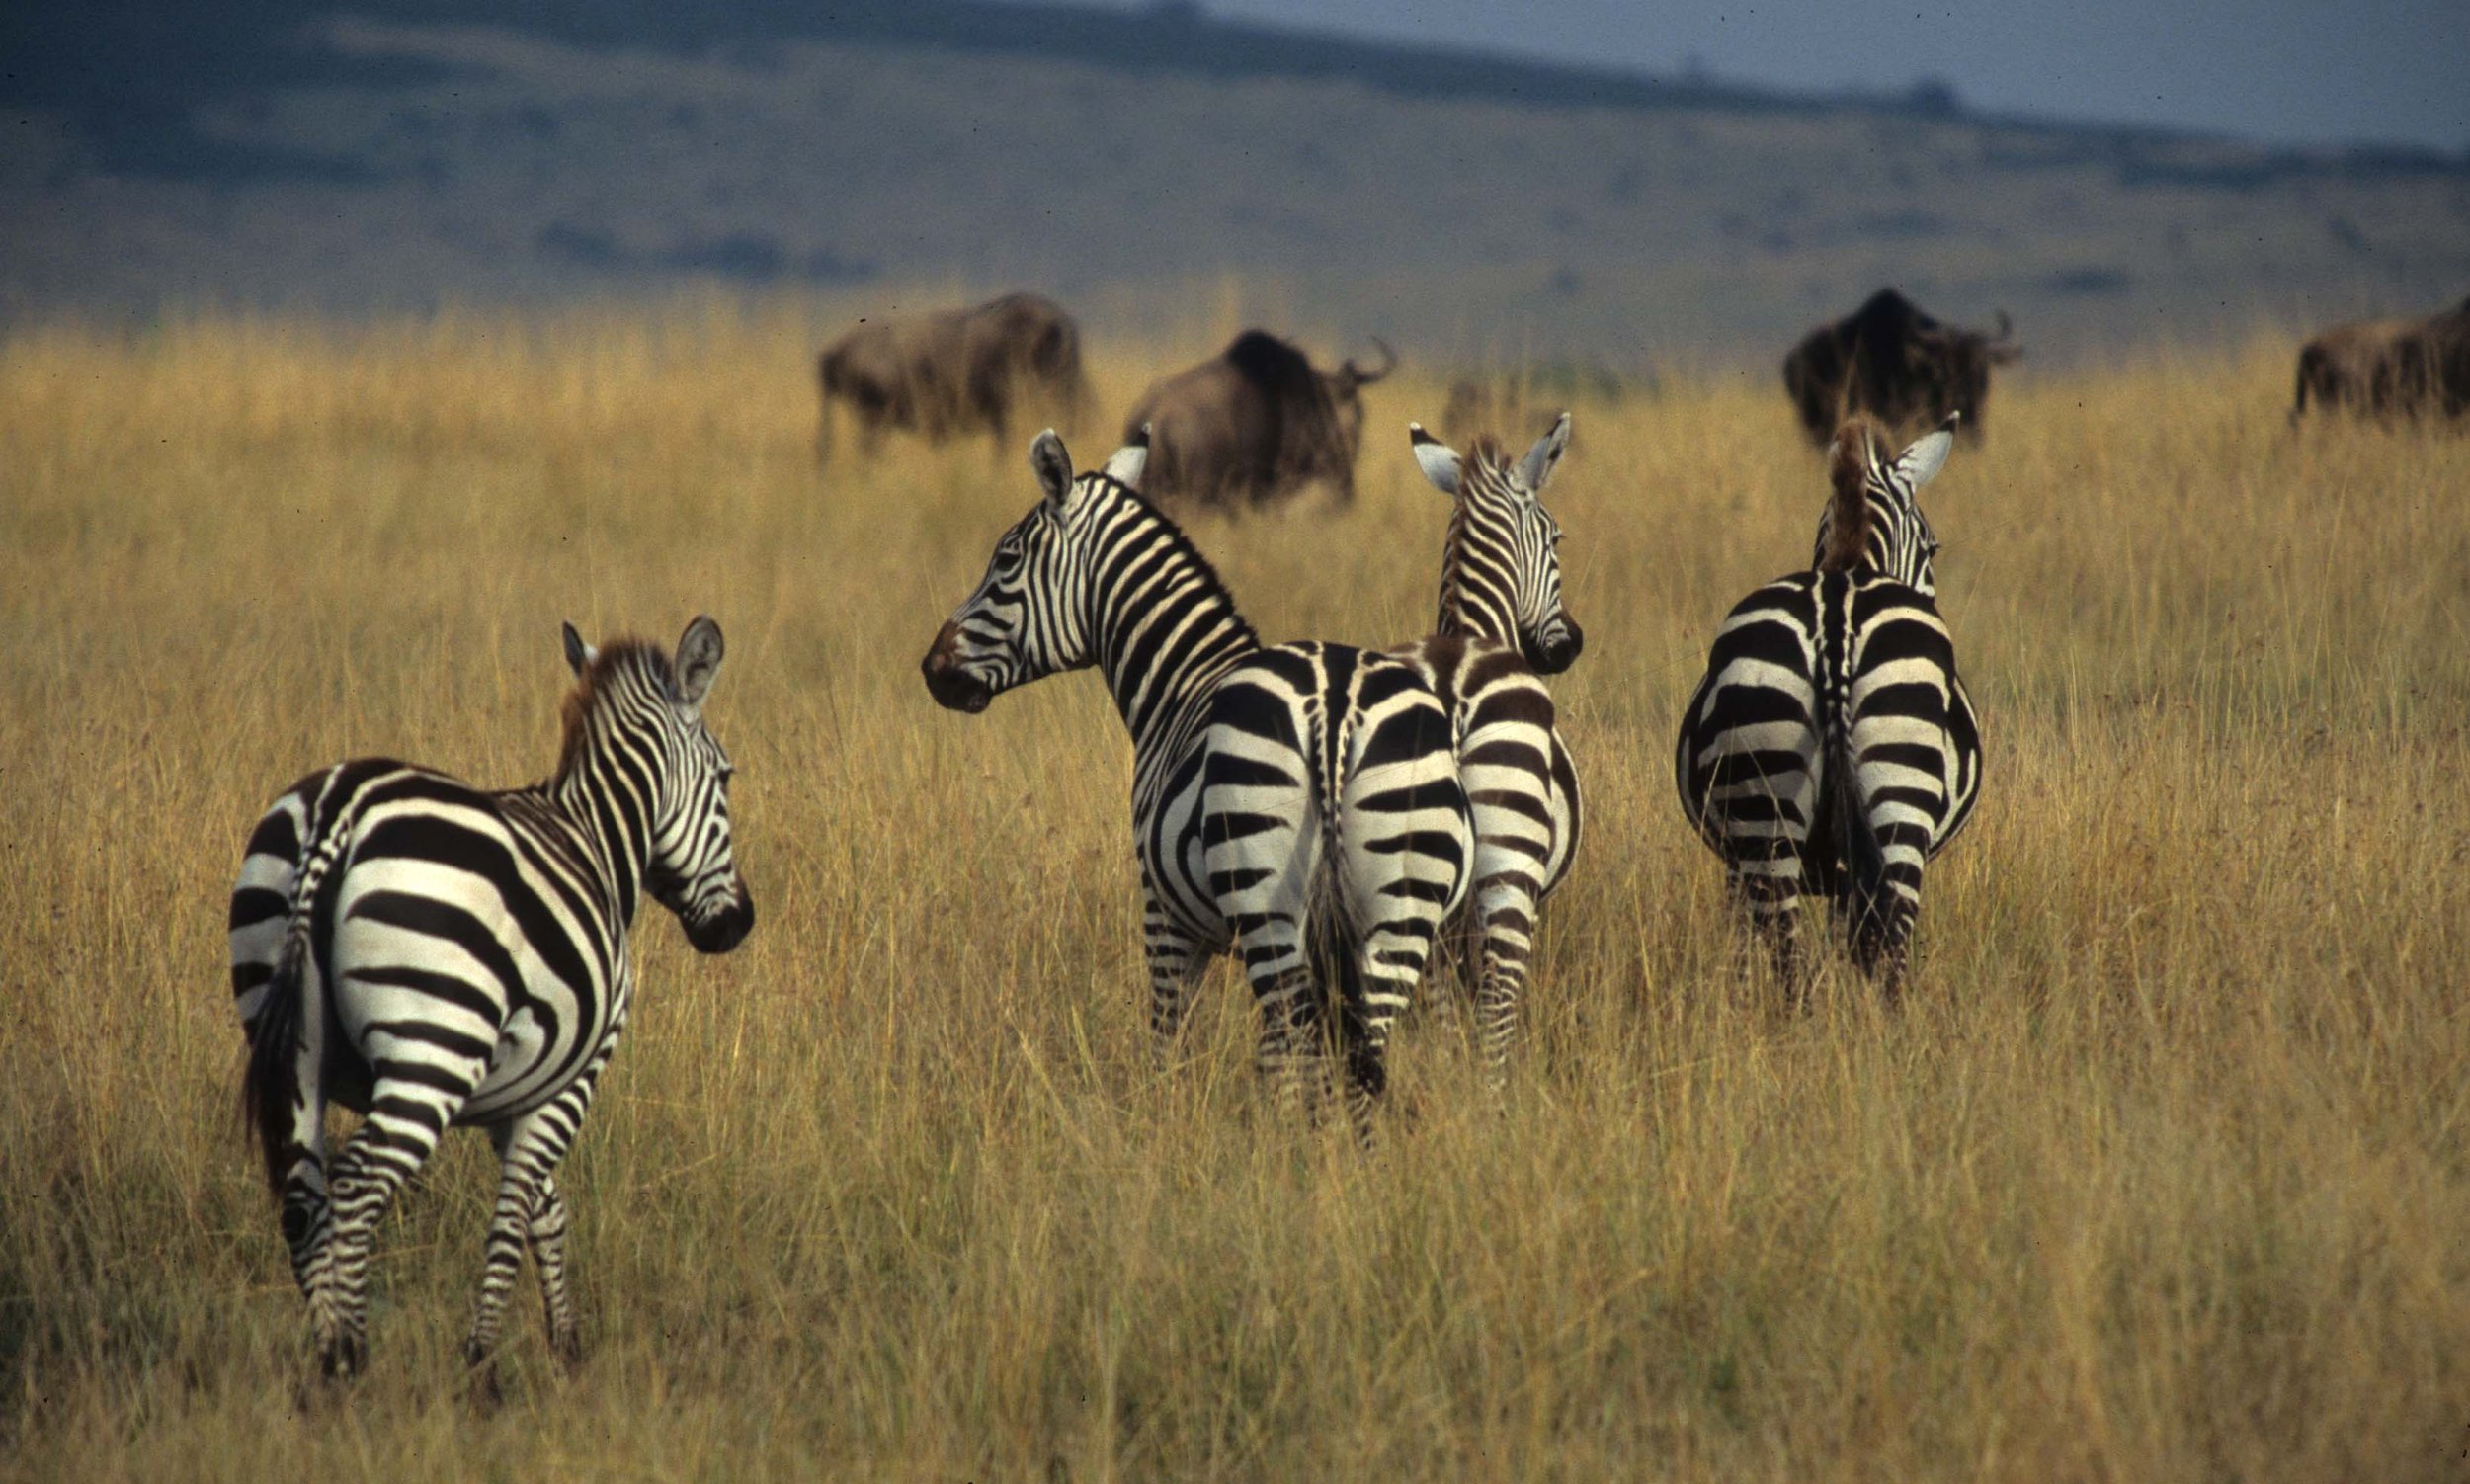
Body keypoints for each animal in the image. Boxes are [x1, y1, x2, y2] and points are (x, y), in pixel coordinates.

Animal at [228, 616, 754, 1389]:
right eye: (724, 778)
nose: (737, 925)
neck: (598, 837)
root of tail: (338, 808)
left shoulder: (519, 1086)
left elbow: (545, 1209)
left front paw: (565, 1345)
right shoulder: (577, 1071)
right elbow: (513, 1213)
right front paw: (483, 1366)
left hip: (290, 1031)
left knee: (303, 1197)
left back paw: (328, 1367)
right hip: (435, 1044)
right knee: (356, 1188)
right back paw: (352, 1360)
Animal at [921, 428, 1473, 1140]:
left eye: (1007, 559)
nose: (932, 668)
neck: (1180, 682)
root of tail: (1333, 702)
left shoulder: (1164, 914)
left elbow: (1170, 1044)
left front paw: (1161, 1131)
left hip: (1267, 898)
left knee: (1300, 1042)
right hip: (1400, 905)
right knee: (1360, 1053)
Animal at [1391, 413, 1584, 1091]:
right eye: (1556, 539)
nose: (1569, 646)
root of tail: (1450, 696)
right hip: (1510, 869)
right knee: (1497, 998)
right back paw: (1493, 1098)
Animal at [1673, 412, 1981, 992]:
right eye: (1932, 548)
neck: (1849, 560)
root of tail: (1836, 615)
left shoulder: (1743, 863)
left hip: (1771, 800)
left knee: (1792, 953)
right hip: (1888, 805)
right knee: (1881, 951)